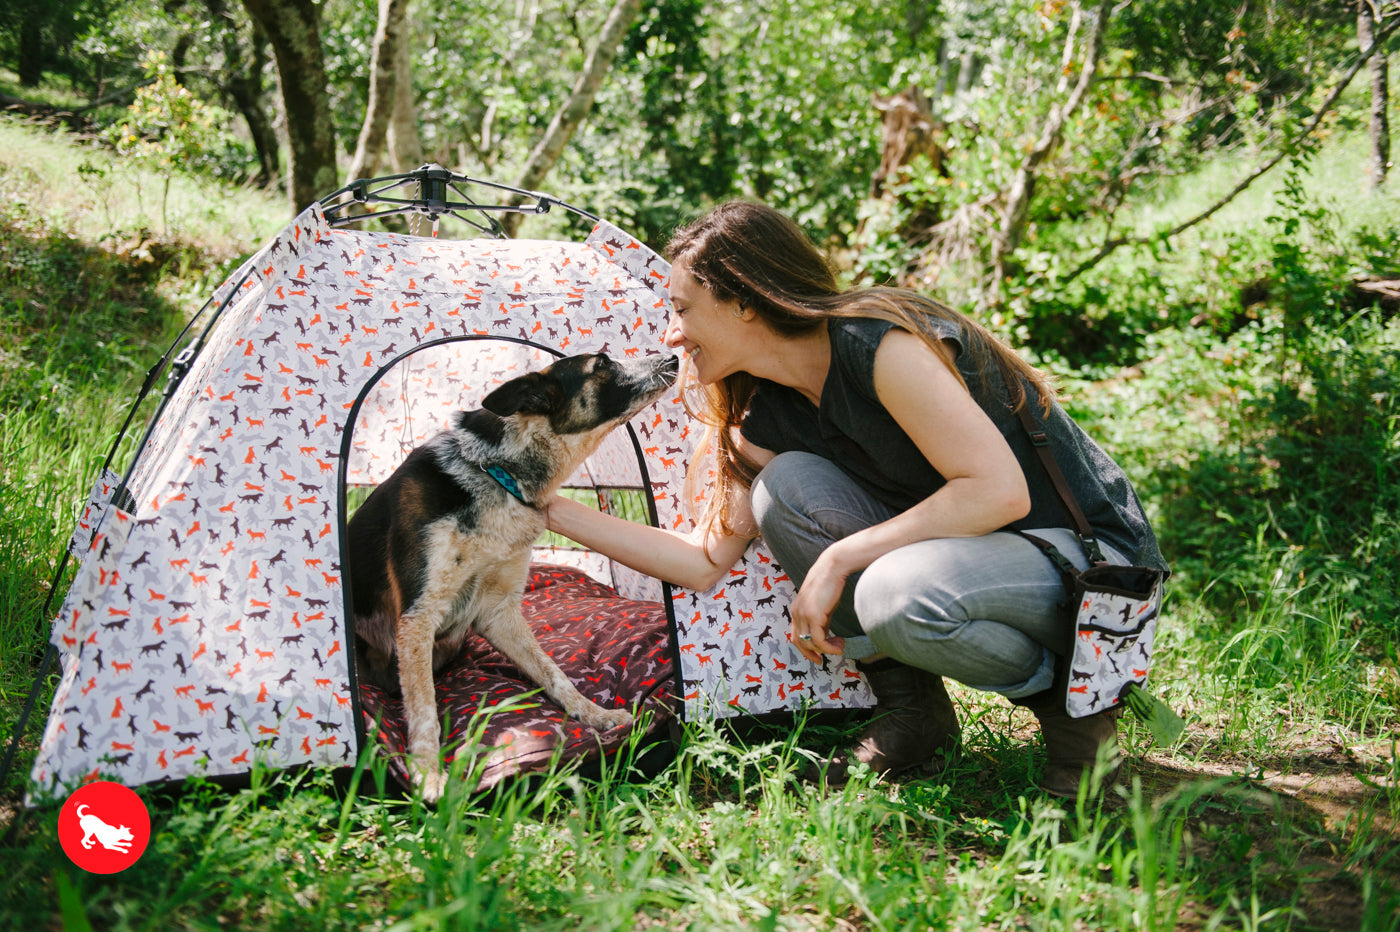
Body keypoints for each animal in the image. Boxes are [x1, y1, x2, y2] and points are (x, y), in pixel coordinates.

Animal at [347, 349, 680, 800]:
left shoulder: (498, 611)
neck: (495, 473)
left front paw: (595, 714)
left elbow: (553, 673)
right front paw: (429, 773)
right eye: (602, 363)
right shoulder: (417, 617)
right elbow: (424, 707)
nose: (674, 356)